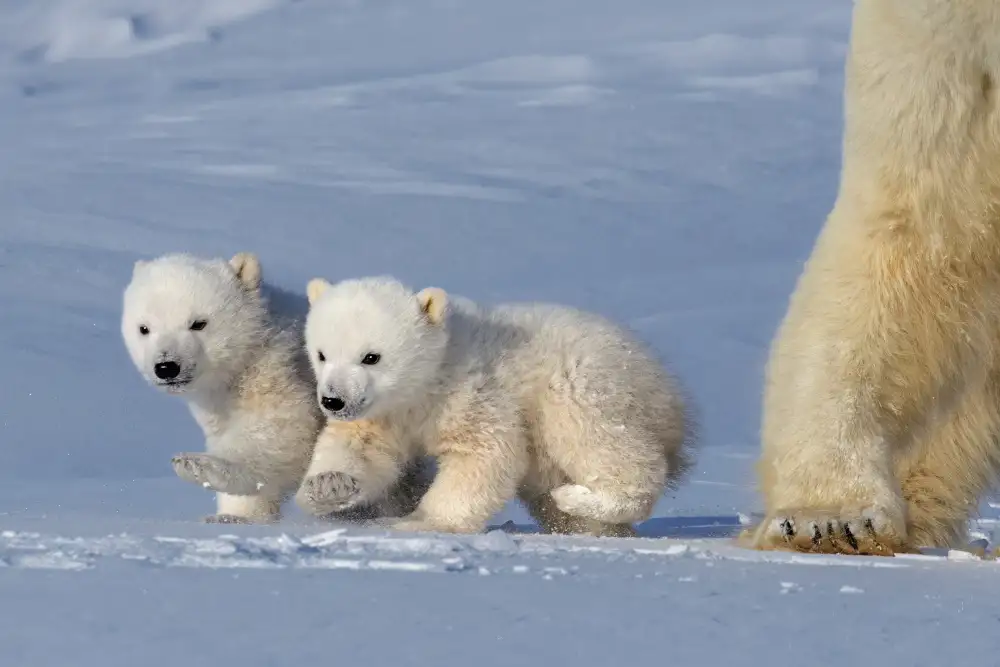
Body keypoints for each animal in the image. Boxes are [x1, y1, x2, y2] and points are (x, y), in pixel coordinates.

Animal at [120, 252, 431, 524]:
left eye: (198, 323)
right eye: (144, 328)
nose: (166, 366)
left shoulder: (283, 375)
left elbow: (282, 437)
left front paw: (200, 465)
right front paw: (231, 516)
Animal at [292, 275, 695, 537]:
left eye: (371, 356)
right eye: (322, 354)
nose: (333, 400)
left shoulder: (471, 390)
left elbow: (485, 453)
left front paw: (420, 521)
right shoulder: (383, 414)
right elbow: (359, 447)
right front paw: (328, 486)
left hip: (583, 385)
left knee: (599, 441)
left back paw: (584, 499)